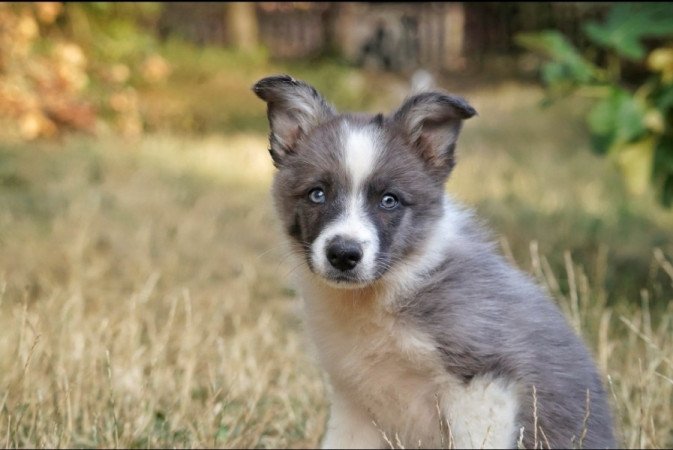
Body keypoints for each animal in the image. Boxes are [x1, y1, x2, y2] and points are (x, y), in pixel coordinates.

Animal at [251, 75, 616, 448]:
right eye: (317, 194)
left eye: (389, 200)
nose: (343, 254)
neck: (388, 288)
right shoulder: (354, 401)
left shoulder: (482, 380)